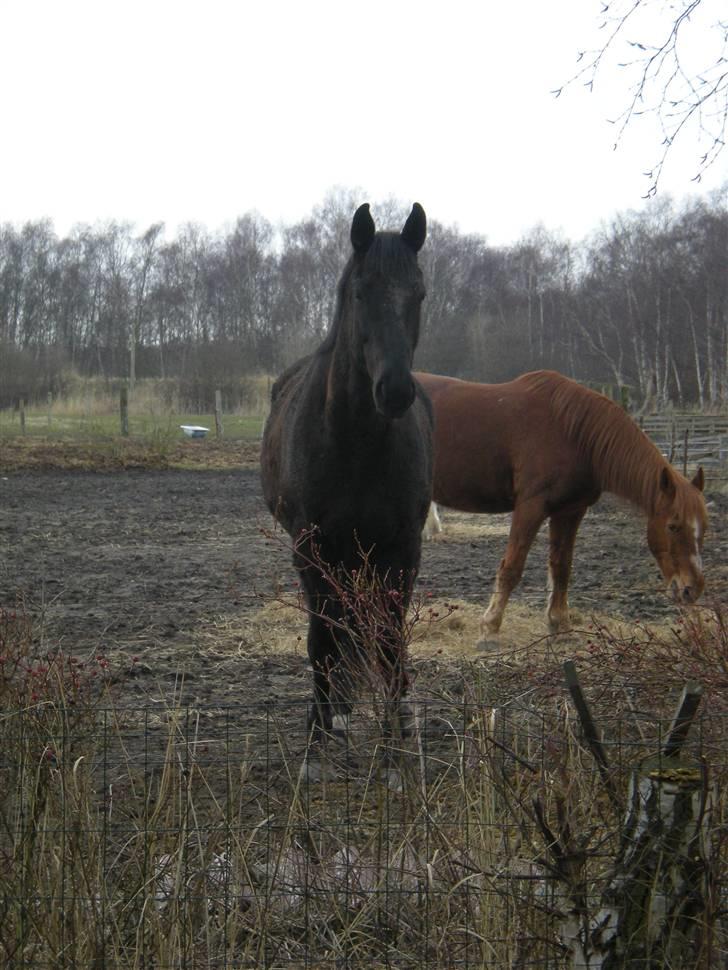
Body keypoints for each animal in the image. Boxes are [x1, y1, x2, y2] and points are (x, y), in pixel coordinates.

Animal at [260, 204, 432, 780]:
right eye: (361, 291)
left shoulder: (402, 549)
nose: (395, 391)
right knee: (334, 633)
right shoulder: (310, 547)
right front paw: (316, 751)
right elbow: (321, 642)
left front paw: (398, 754)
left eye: (419, 293)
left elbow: (390, 643)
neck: (355, 442)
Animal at [418, 370, 708, 636]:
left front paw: (560, 624)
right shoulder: (530, 507)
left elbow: (561, 567)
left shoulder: (570, 510)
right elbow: (512, 567)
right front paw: (490, 627)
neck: (574, 435)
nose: (692, 589)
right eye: (673, 526)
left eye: (703, 529)